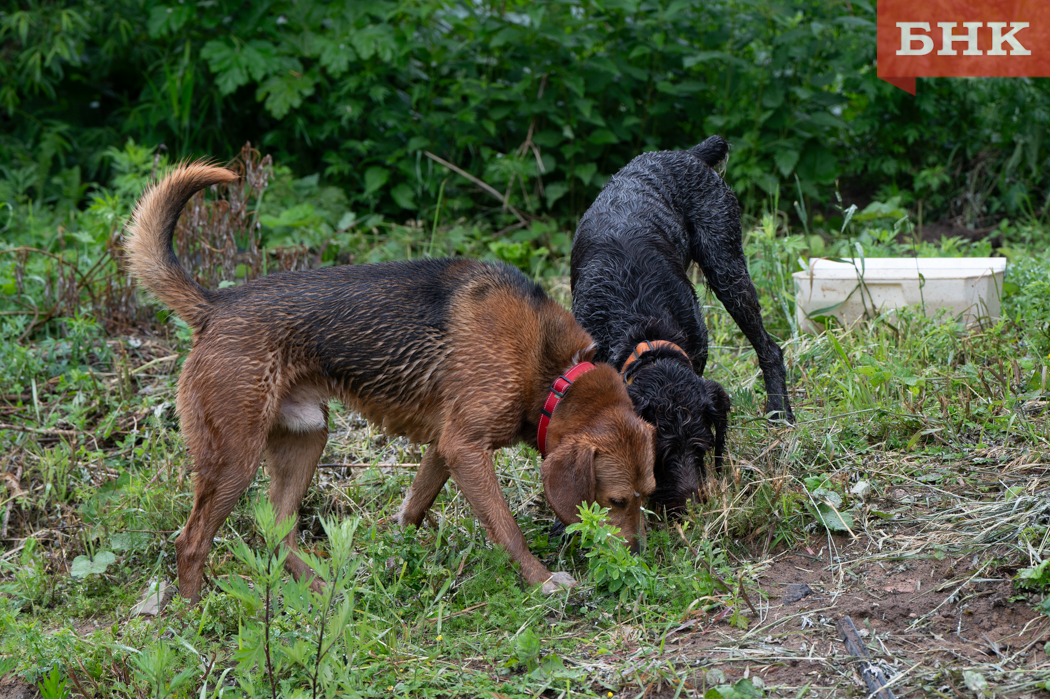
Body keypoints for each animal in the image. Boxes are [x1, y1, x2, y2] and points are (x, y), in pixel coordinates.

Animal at [120, 161, 646, 600]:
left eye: (648, 495)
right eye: (616, 500)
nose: (641, 559)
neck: (556, 374)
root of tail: (214, 306)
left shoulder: (446, 448)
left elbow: (414, 507)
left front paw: (399, 554)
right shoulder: (466, 448)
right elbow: (508, 529)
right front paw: (542, 581)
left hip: (306, 439)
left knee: (277, 534)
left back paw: (320, 591)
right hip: (234, 459)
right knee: (191, 541)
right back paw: (192, 616)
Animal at [571, 134, 789, 512]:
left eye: (702, 445)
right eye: (660, 452)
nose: (693, 507)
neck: (642, 327)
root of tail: (686, 154)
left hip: (726, 266)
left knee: (769, 348)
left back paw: (779, 413)